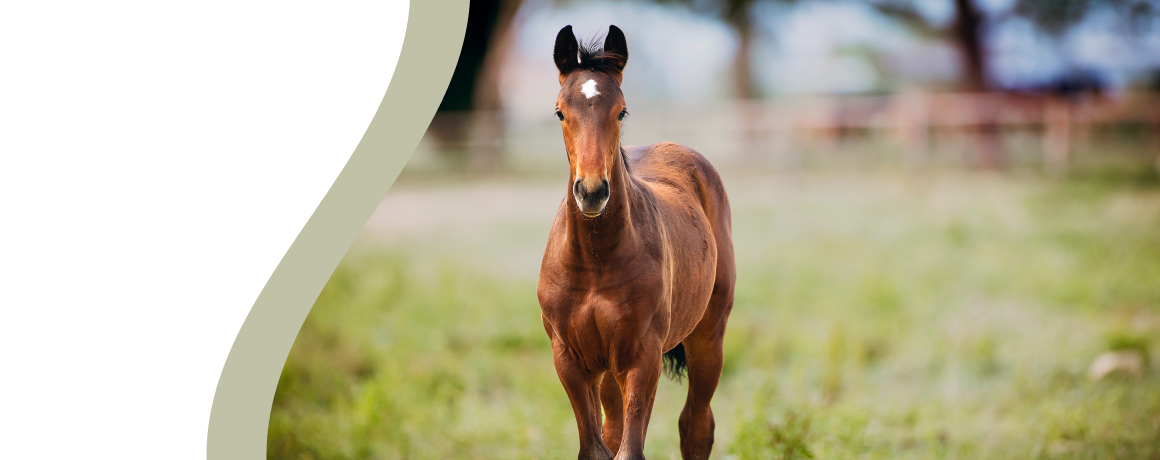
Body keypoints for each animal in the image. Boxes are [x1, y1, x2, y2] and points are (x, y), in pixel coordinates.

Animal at [536, 25, 736, 460]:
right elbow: (597, 448)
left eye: (621, 111)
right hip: (608, 368)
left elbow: (630, 451)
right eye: (560, 112)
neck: (596, 262)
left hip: (708, 336)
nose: (592, 191)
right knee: (614, 427)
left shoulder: (643, 359)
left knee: (696, 426)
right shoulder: (569, 360)